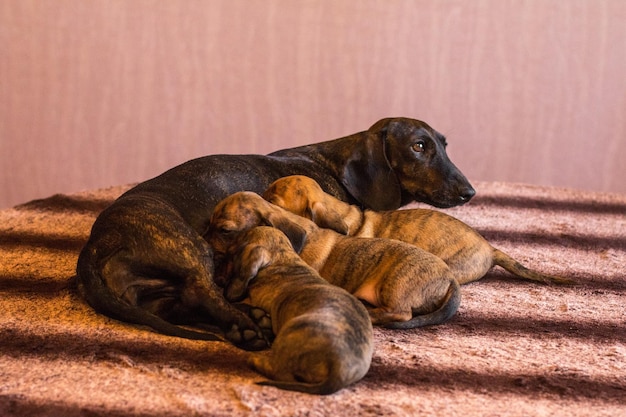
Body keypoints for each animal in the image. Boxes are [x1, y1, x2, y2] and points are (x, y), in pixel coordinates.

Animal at [216, 226, 370, 394]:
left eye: (235, 249)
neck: (283, 257)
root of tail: (339, 370)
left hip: (288, 333)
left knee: (280, 372)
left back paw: (255, 360)